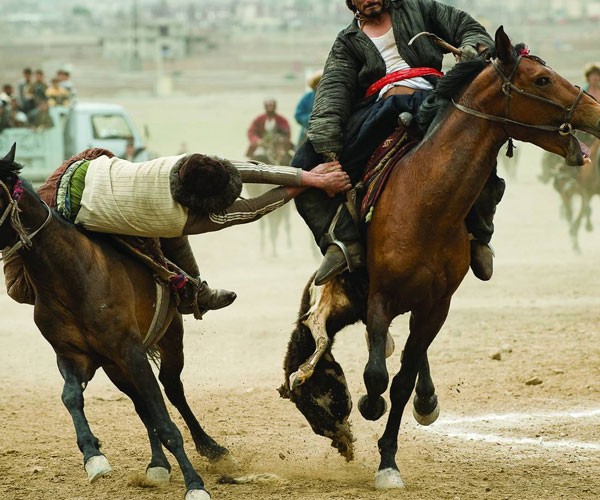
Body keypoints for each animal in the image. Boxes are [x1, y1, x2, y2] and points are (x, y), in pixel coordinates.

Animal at [0, 146, 227, 498]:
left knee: (172, 389)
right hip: (115, 367)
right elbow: (71, 397)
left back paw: (211, 448)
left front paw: (194, 484)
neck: (73, 278)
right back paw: (158, 465)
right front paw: (94, 457)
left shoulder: (131, 352)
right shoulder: (74, 356)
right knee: (141, 405)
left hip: (168, 339)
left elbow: (164, 420)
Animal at [278, 26, 600, 488]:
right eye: (541, 79)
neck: (426, 203)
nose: (595, 112)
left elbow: (401, 381)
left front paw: (389, 458)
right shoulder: (379, 298)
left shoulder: (437, 305)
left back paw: (424, 400)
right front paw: (372, 412)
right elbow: (376, 375)